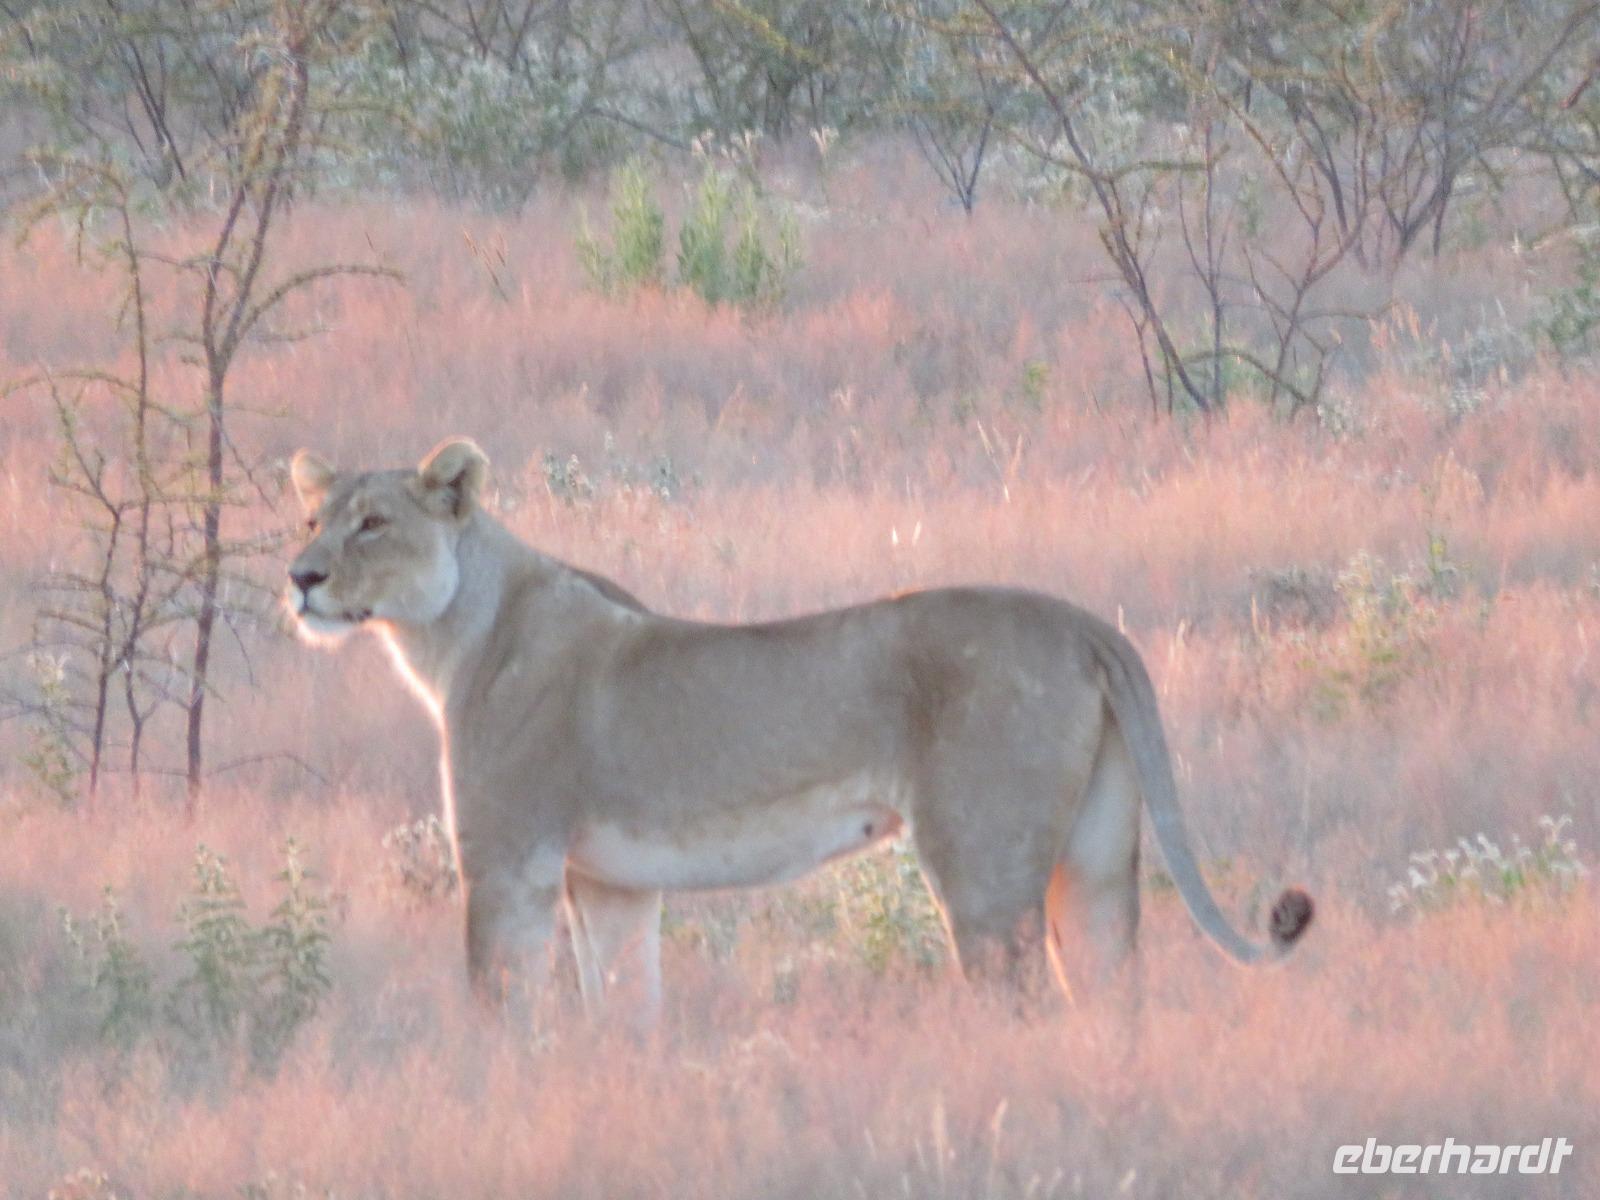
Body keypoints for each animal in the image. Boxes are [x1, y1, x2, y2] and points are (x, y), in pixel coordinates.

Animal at [287, 437, 1312, 1021]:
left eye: (372, 523)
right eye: (309, 520)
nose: (300, 578)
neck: (451, 634)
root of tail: (1084, 622)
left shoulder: (507, 866)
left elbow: (500, 1019)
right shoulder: (612, 885)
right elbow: (624, 1014)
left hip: (983, 865)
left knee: (1023, 1002)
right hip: (1095, 858)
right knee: (1110, 993)